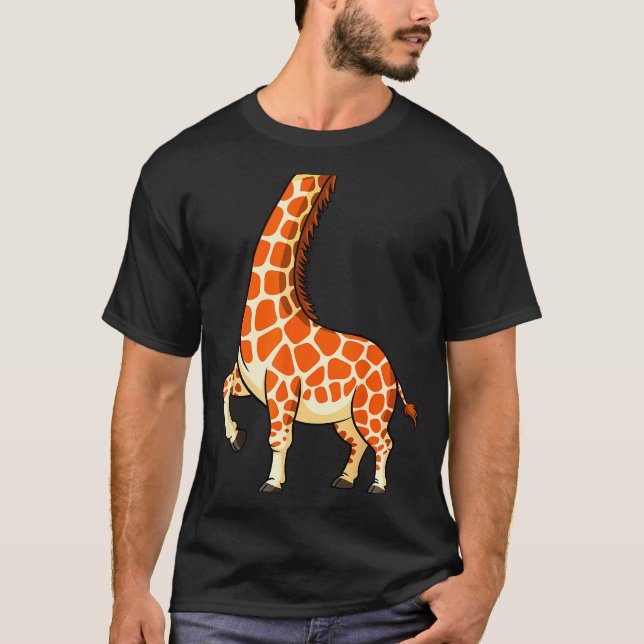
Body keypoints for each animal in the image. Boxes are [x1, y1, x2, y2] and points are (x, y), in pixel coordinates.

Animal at [223, 174, 417, 494]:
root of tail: (392, 372)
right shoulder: (251, 383)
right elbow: (224, 386)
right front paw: (237, 437)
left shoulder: (282, 387)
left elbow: (279, 438)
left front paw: (272, 482)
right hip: (344, 416)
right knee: (359, 443)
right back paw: (344, 479)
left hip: (370, 408)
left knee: (384, 442)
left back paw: (377, 486)